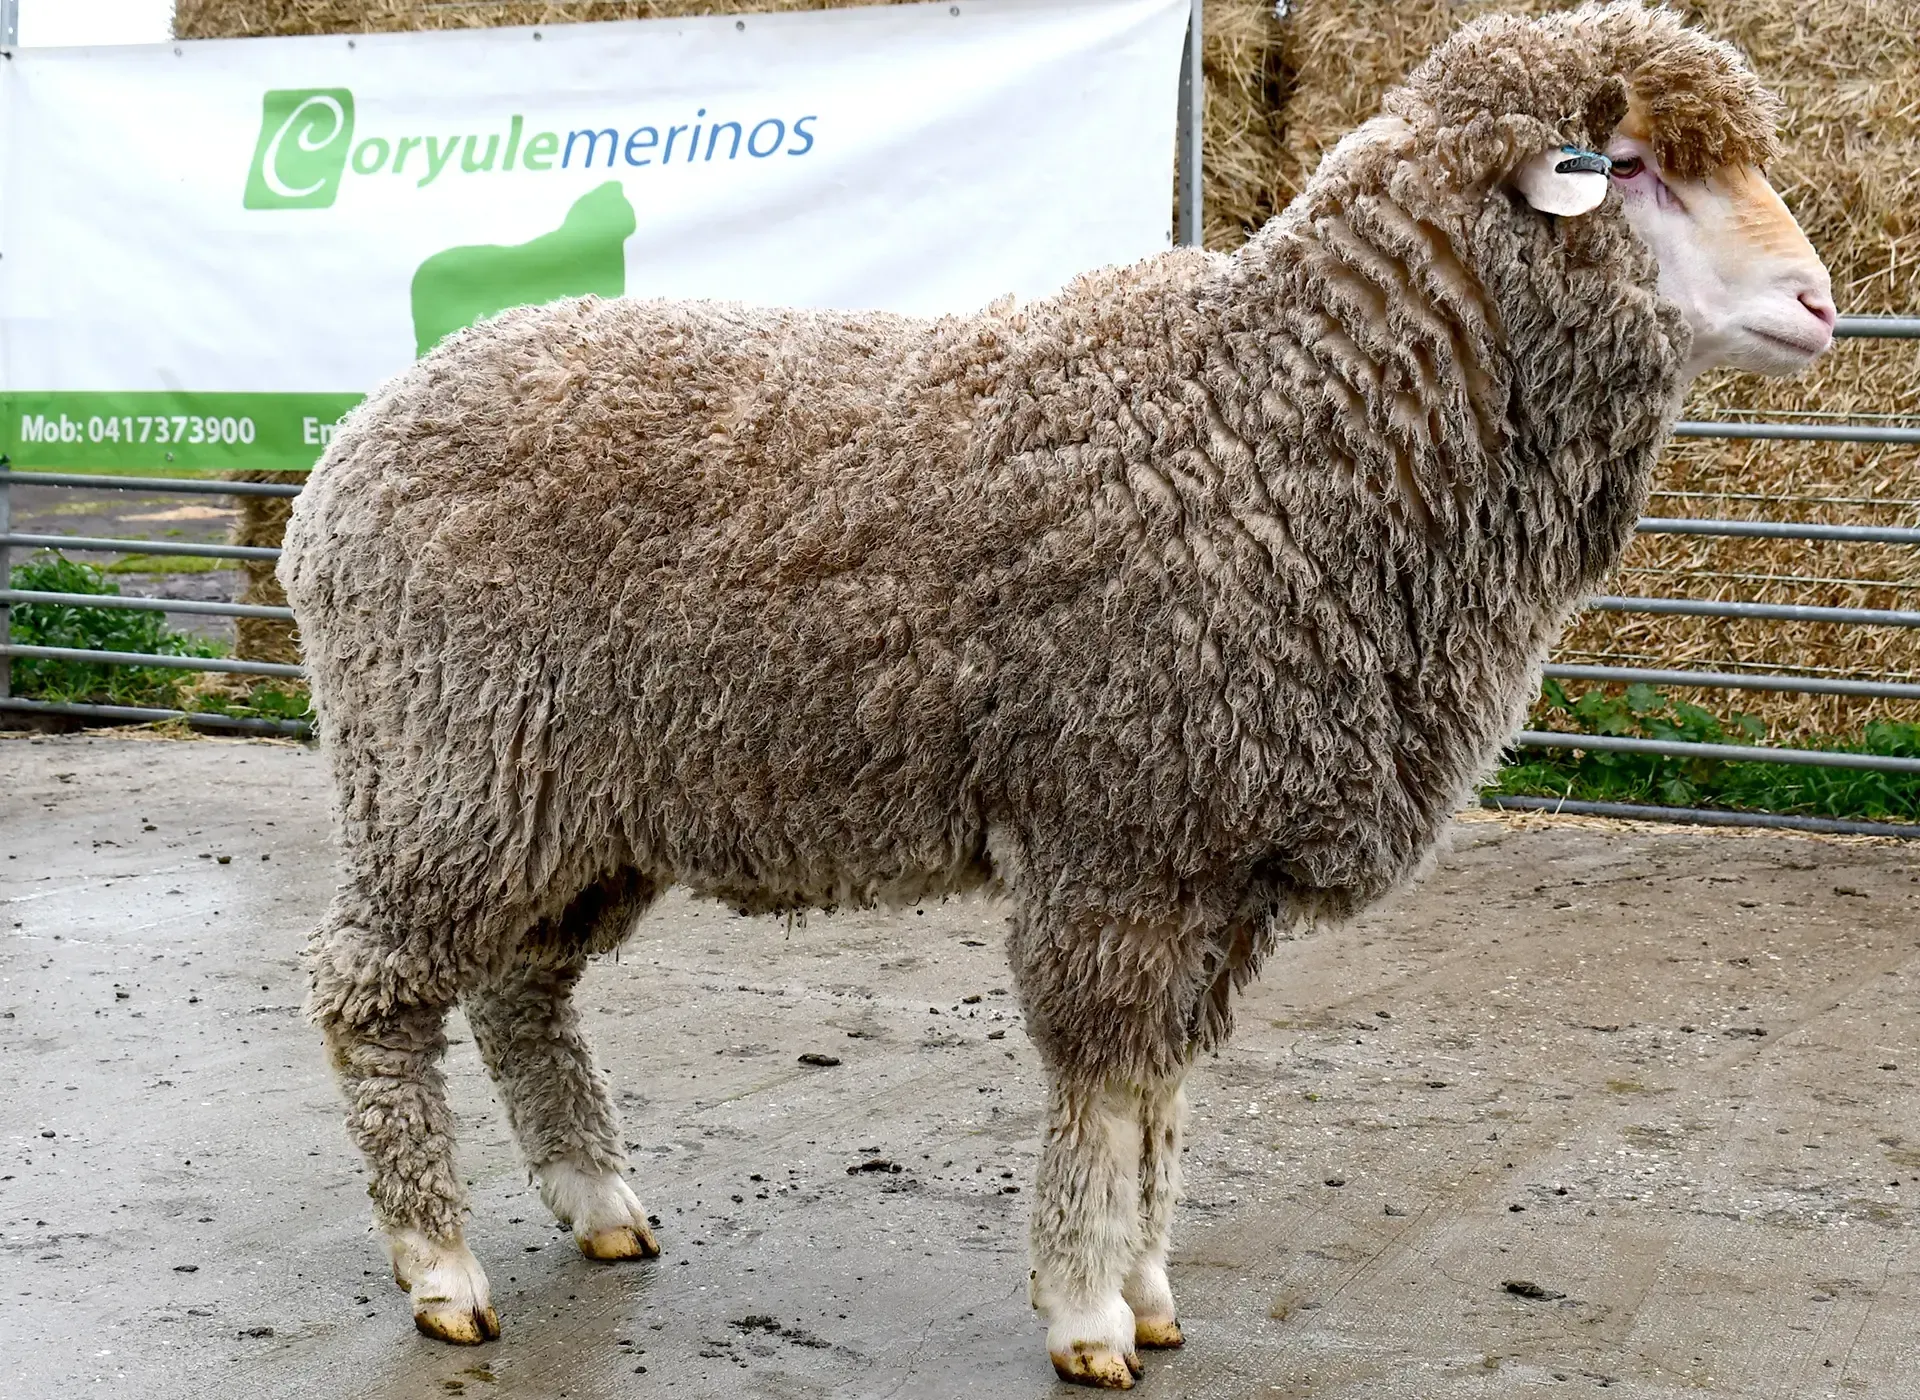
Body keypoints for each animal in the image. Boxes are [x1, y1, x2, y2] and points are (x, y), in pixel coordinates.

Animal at [280, 3, 1833, 1388]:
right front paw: (1087, 1314)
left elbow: (1161, 1092)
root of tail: (347, 454)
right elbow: (1102, 1081)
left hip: (576, 803)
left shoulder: (1212, 851)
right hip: (446, 767)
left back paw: (597, 1202)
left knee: (522, 991)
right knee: (373, 995)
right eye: (1630, 167)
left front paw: (1147, 1290)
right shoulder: (1123, 832)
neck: (1283, 429)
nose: (1820, 303)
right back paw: (441, 1267)